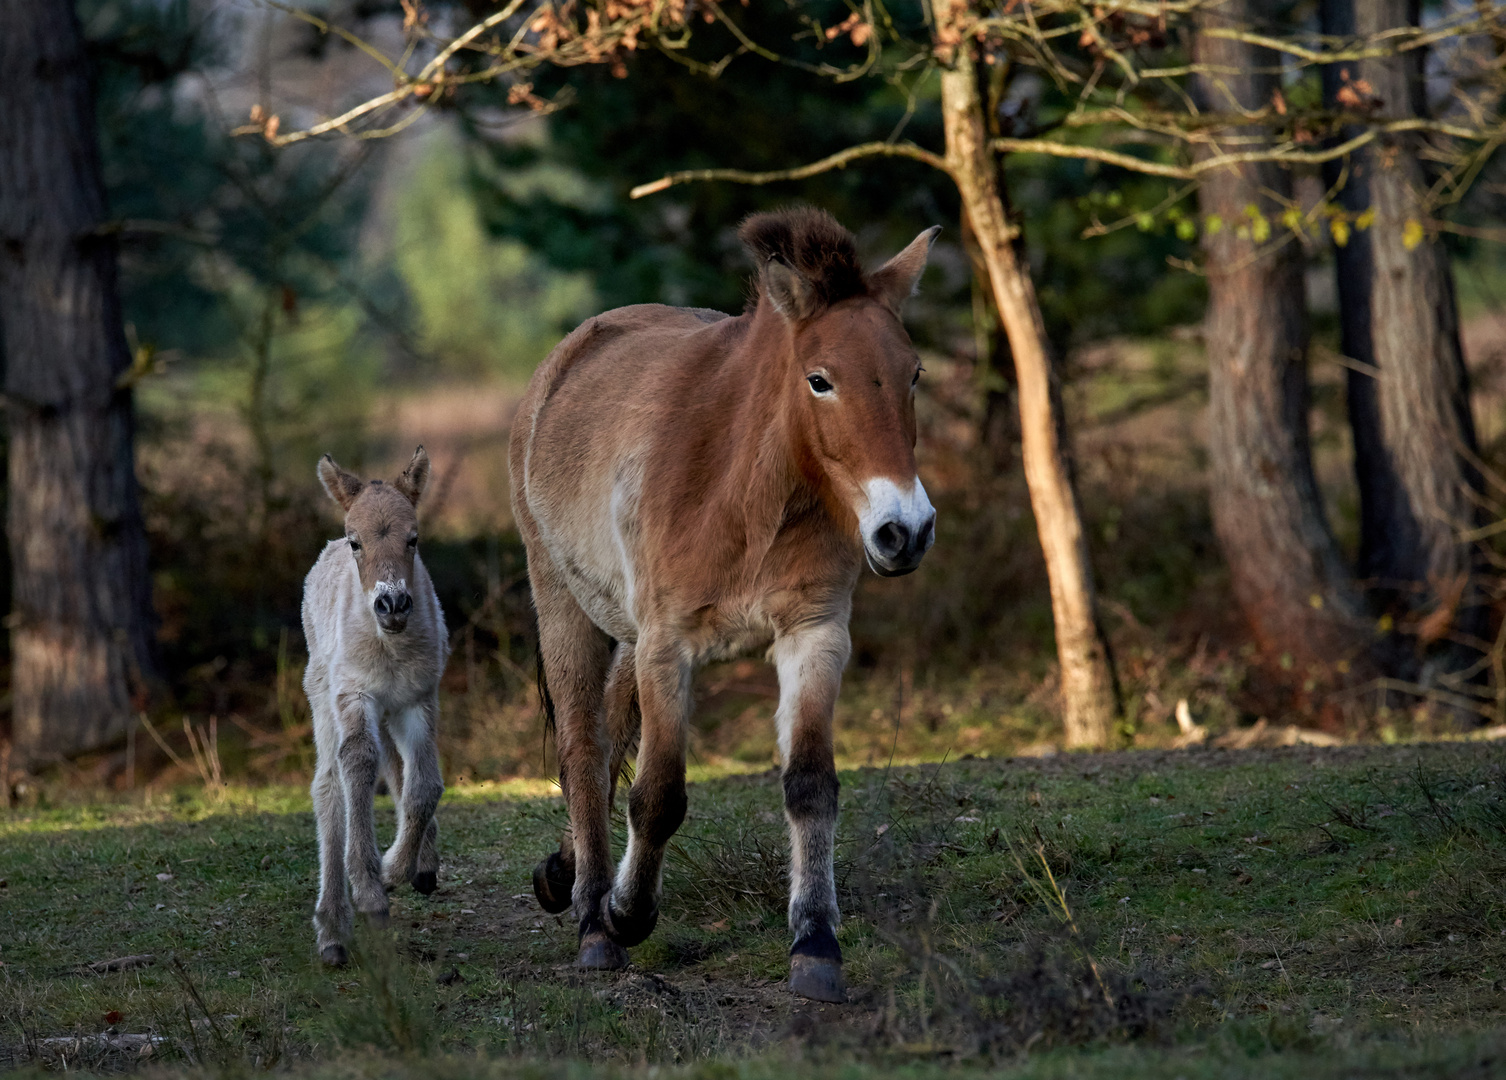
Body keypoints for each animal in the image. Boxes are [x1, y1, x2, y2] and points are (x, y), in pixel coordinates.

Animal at [512, 204, 933, 1000]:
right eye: (820, 380)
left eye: (914, 373)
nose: (907, 530)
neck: (748, 490)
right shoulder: (667, 645)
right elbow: (659, 794)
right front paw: (627, 913)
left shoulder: (814, 633)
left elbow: (809, 784)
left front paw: (816, 943)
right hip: (564, 608)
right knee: (584, 749)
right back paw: (593, 925)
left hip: (625, 634)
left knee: (608, 738)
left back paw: (563, 876)